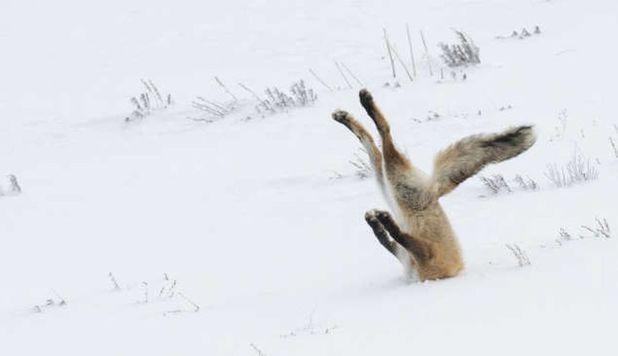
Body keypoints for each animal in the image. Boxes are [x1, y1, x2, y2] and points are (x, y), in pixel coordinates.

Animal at [332, 89, 536, 280]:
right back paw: (346, 116)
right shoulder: (411, 255)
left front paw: (383, 221)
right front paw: (376, 222)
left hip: (395, 184)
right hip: (388, 184)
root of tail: (434, 190)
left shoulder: (425, 255)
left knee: (384, 135)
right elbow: (386, 239)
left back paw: (365, 105)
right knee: (371, 142)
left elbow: (397, 236)